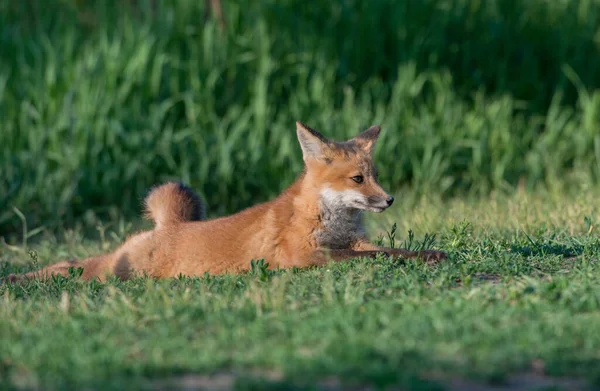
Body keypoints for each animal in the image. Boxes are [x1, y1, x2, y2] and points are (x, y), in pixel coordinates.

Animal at [4, 121, 446, 284]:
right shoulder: (303, 257)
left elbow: (392, 251)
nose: (388, 200)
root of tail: (171, 226)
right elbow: (371, 257)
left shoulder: (351, 242)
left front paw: (431, 255)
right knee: (75, 266)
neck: (329, 218)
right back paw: (19, 279)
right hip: (119, 270)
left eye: (376, 175)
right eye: (358, 179)